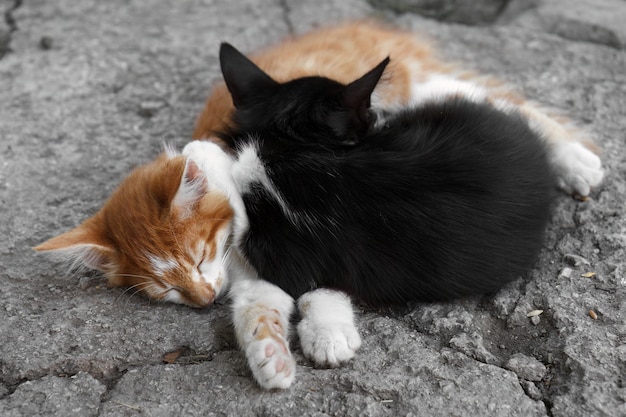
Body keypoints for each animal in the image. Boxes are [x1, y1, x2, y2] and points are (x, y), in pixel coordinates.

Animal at [34, 22, 600, 388]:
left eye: (197, 257)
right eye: (168, 291)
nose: (203, 300)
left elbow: (319, 283)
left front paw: (327, 332)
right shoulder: (261, 270)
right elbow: (259, 304)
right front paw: (270, 355)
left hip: (422, 92)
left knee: (505, 101)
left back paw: (576, 160)